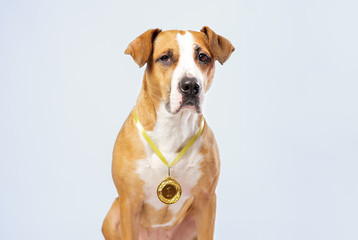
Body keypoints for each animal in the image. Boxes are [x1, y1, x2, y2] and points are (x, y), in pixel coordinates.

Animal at [101, 26, 235, 240]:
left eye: (203, 57)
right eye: (165, 57)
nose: (191, 85)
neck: (173, 127)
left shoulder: (206, 200)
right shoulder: (129, 202)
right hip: (112, 214)